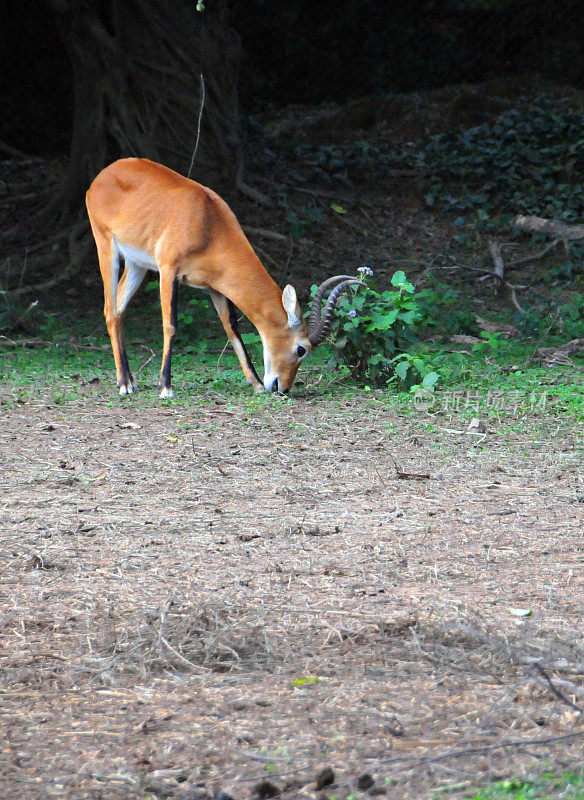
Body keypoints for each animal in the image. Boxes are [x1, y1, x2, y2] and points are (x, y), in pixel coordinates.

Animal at [85, 158, 364, 396]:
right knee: (110, 309)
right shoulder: (168, 271)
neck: (207, 222)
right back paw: (124, 384)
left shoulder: (216, 286)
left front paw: (256, 384)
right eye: (301, 349)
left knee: (118, 310)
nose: (283, 388)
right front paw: (166, 387)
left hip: (136, 265)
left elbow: (232, 328)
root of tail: (105, 173)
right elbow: (170, 324)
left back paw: (130, 381)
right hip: (107, 247)